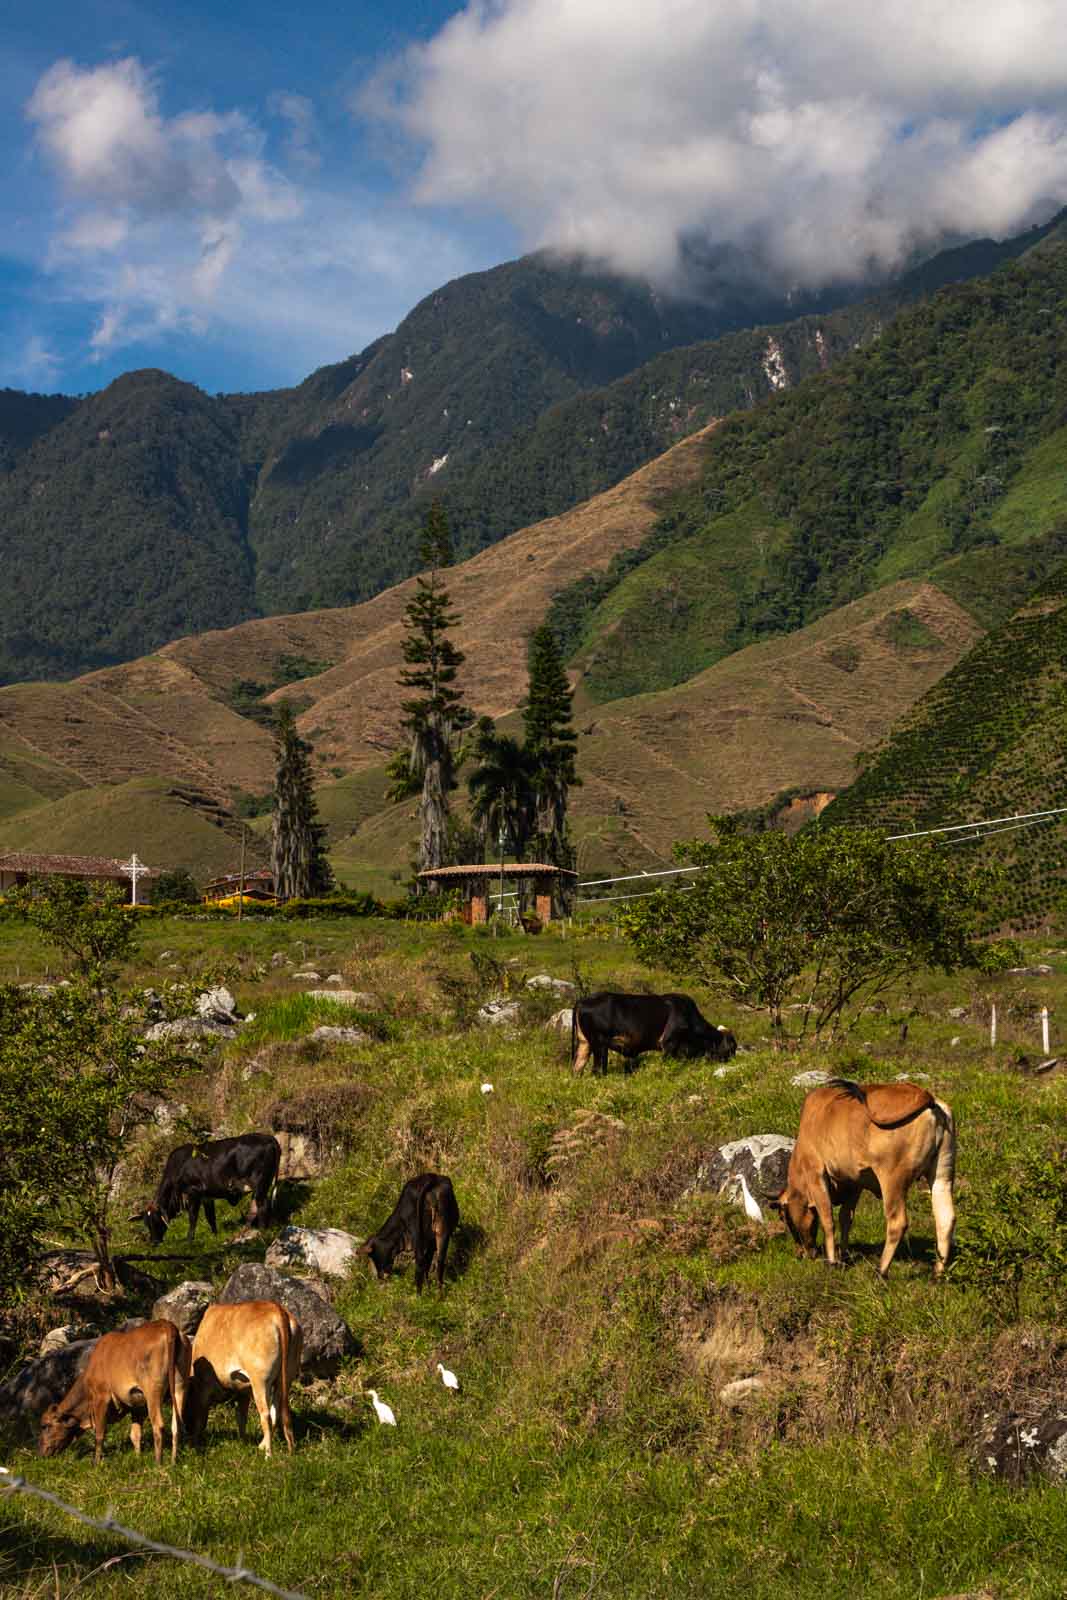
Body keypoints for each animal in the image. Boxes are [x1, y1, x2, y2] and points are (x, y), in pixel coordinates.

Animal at [36, 1318, 191, 1465]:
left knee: (158, 1425)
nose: (41, 1453)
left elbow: (99, 1434)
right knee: (175, 1426)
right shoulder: (137, 1405)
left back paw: (158, 1463)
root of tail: (166, 1325)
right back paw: (173, 1462)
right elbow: (135, 1435)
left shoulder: (101, 1397)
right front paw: (137, 1458)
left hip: (153, 1391)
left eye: (45, 1426)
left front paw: (96, 1463)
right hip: (179, 1387)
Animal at [131, 1132, 281, 1241]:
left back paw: (262, 1231)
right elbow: (210, 1218)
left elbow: (193, 1218)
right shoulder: (207, 1197)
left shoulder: (193, 1192)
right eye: (146, 1223)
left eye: (156, 1220)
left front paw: (189, 1240)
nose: (154, 1242)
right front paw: (215, 1236)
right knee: (255, 1207)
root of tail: (269, 1138)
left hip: (259, 1182)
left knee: (262, 1206)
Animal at [183, 1299, 300, 1465]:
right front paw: (243, 1442)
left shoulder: (204, 1387)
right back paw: (275, 1447)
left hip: (260, 1381)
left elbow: (200, 1417)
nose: (186, 1428)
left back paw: (268, 1454)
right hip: (285, 1379)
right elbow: (241, 1417)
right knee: (277, 1411)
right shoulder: (243, 1391)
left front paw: (194, 1442)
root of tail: (277, 1310)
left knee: (266, 1416)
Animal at [572, 985, 739, 1075]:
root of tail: (583, 1000)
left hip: (585, 1043)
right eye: (732, 1047)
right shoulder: (668, 1044)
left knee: (577, 1068)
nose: (733, 1060)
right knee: (597, 1070)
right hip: (599, 1045)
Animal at [771, 1081, 953, 1280]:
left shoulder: (816, 1173)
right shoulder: (854, 1183)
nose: (800, 1254)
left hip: (893, 1179)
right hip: (942, 1175)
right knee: (946, 1218)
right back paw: (937, 1274)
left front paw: (832, 1262)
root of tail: (927, 1096)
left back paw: (881, 1271)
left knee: (898, 1222)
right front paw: (843, 1258)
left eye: (784, 1217)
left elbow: (828, 1220)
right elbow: (845, 1218)